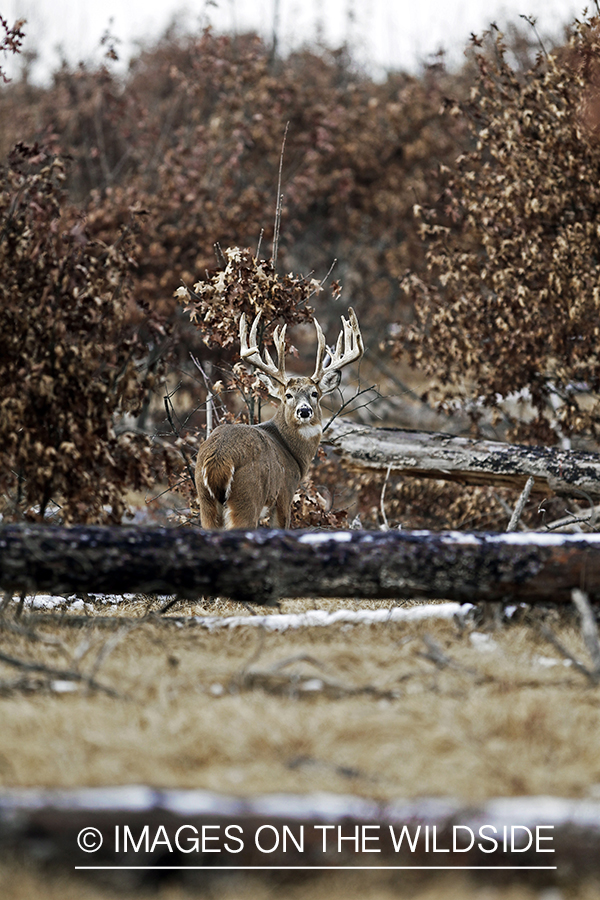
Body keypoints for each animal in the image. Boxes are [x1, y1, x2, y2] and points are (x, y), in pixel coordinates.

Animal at [197, 306, 364, 532]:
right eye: (288, 395)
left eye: (315, 393)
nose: (304, 411)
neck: (292, 454)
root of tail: (218, 460)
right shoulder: (285, 493)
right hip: (247, 497)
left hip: (205, 503)